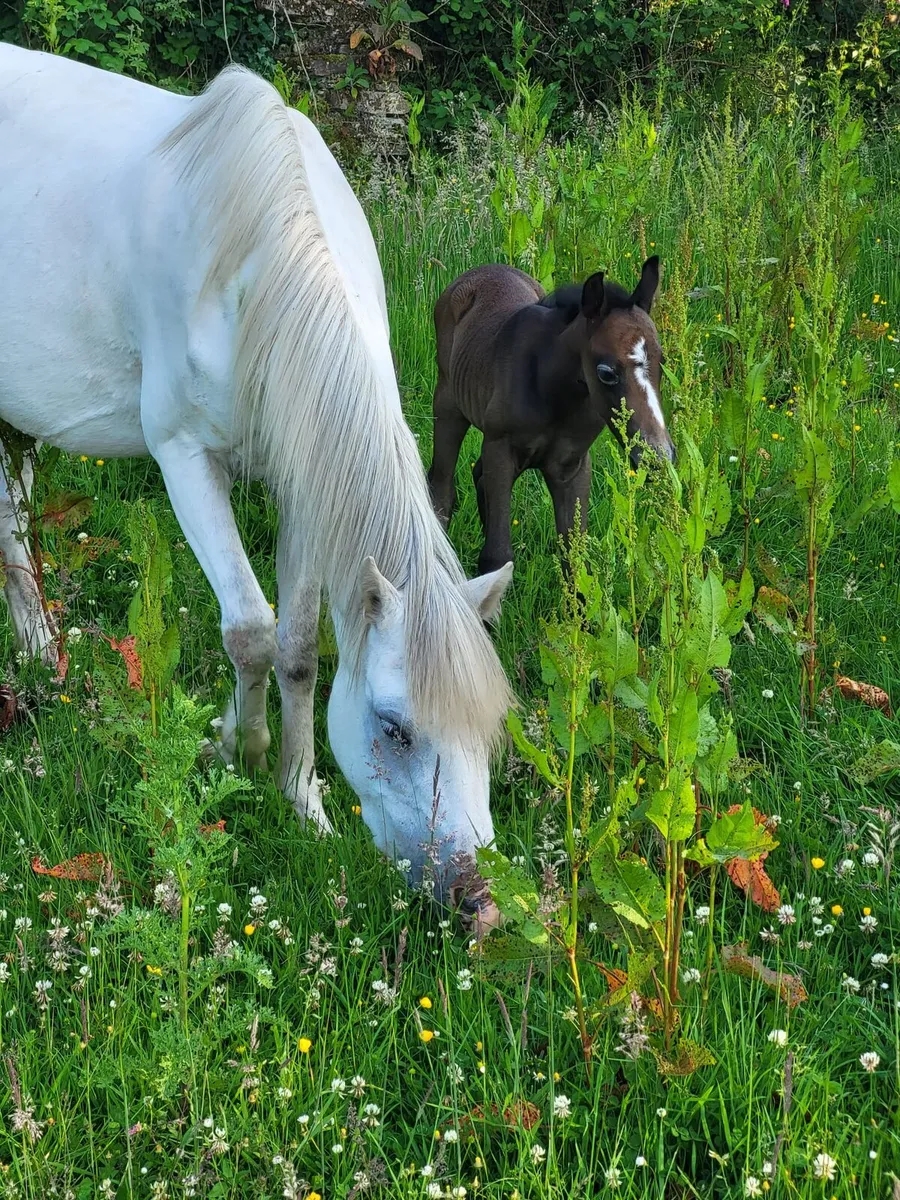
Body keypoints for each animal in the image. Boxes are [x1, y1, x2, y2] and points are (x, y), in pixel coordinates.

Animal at [0, 44, 514, 911]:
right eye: (394, 727)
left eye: (488, 730)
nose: (475, 899)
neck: (257, 266)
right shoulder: (184, 460)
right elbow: (248, 631)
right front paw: (235, 750)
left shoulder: (302, 484)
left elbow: (298, 645)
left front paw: (301, 798)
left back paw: (42, 655)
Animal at [426, 260, 675, 575]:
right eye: (606, 372)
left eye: (662, 362)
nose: (658, 456)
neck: (555, 392)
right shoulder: (501, 449)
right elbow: (497, 556)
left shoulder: (572, 465)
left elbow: (575, 558)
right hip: (448, 406)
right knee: (442, 489)